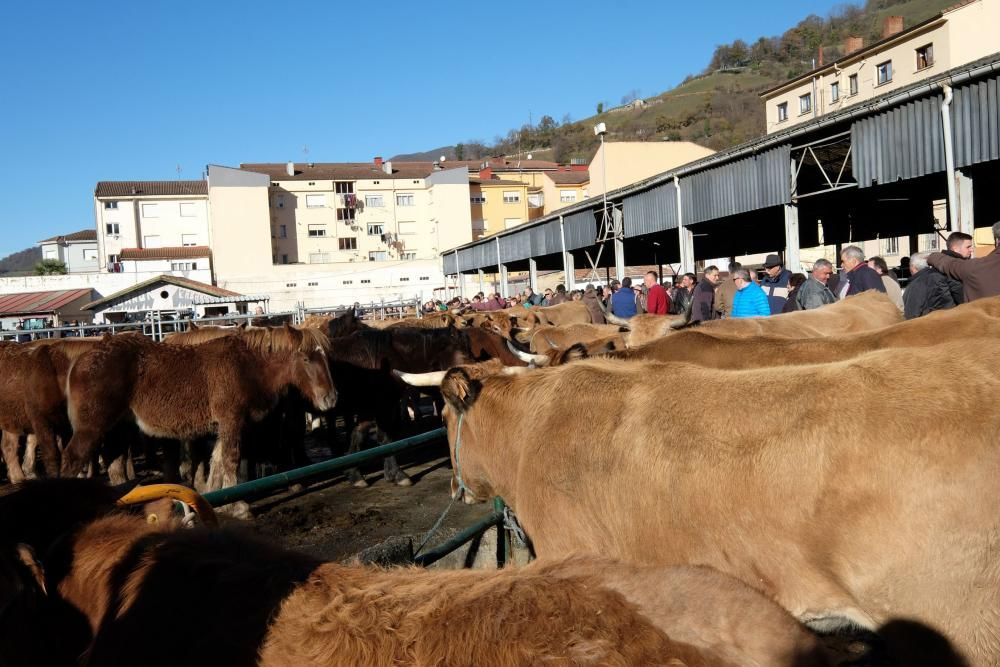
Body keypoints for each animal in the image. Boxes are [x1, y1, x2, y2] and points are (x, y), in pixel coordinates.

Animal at [62, 326, 336, 494]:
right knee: (73, 459)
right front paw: (239, 505)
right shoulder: (231, 421)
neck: (246, 364)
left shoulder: (225, 425)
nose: (331, 398)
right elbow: (230, 460)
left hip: (118, 429)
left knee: (115, 467)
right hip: (91, 429)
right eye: (306, 359)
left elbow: (216, 462)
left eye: (325, 356)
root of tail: (81, 360)